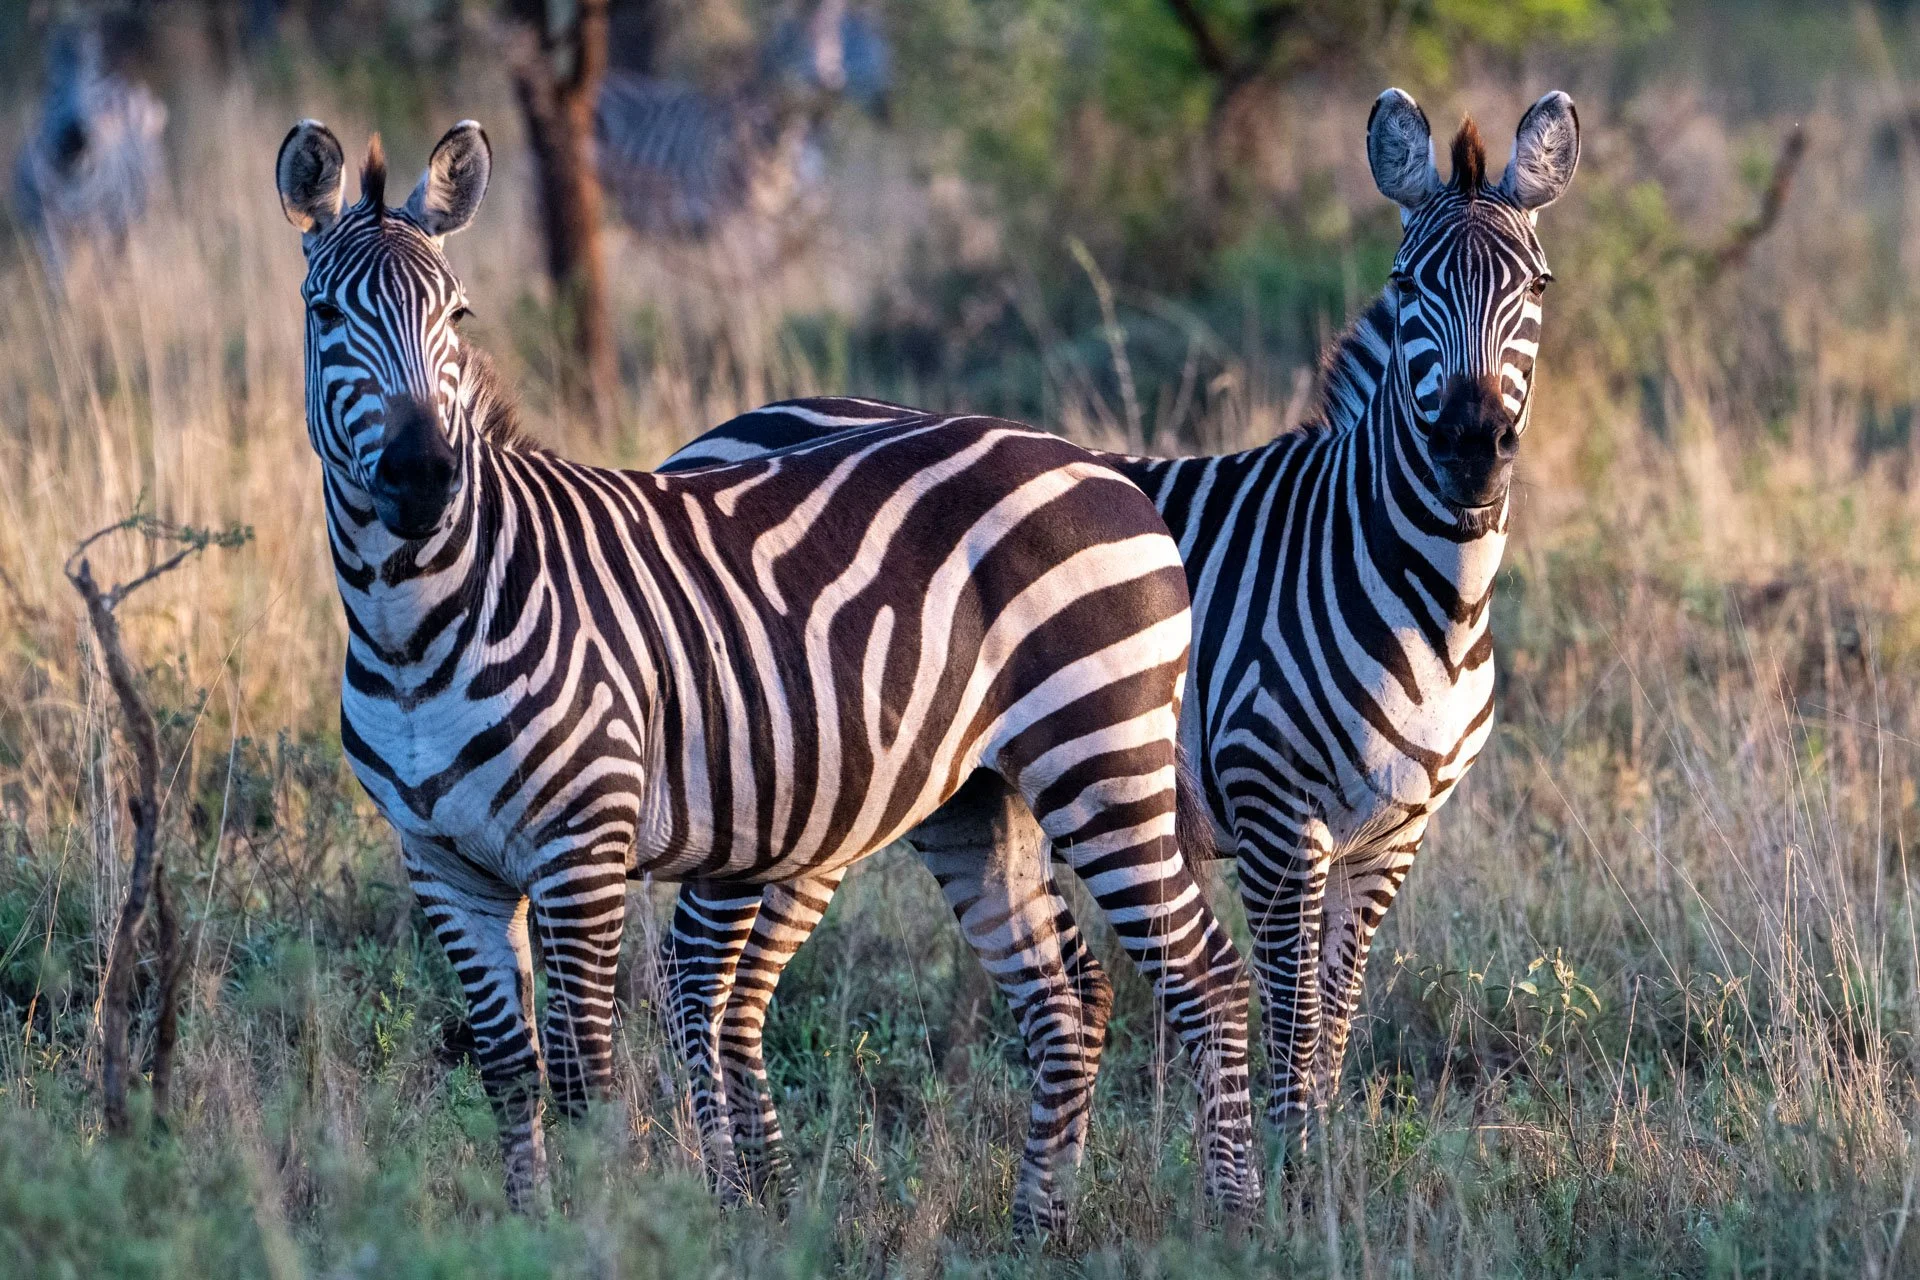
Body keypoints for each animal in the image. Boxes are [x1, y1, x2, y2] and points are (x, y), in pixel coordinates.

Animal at [13, 16, 167, 280]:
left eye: (92, 81)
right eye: (53, 86)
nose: (76, 136)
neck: (72, 179)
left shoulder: (99, 225)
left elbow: (101, 272)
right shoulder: (48, 228)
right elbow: (57, 279)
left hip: (137, 211)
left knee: (124, 253)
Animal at [273, 118, 1257, 1233]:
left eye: (457, 316)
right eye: (324, 313)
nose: (425, 477)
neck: (415, 627)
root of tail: (1104, 468)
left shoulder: (581, 851)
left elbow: (583, 1074)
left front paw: (602, 1233)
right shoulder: (442, 863)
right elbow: (511, 1071)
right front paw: (530, 1229)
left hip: (1102, 759)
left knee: (1208, 977)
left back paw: (1235, 1218)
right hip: (980, 798)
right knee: (1067, 995)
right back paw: (1037, 1227)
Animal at [651, 88, 1581, 1183]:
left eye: (1537, 286)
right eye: (1406, 284)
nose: (1472, 450)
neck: (1424, 593)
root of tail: (726, 424)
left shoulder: (1392, 836)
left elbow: (1335, 1027)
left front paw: (1321, 1184)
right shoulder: (1274, 813)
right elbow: (1291, 1026)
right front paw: (1289, 1191)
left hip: (830, 793)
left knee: (742, 984)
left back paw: (771, 1188)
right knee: (695, 966)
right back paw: (727, 1189)